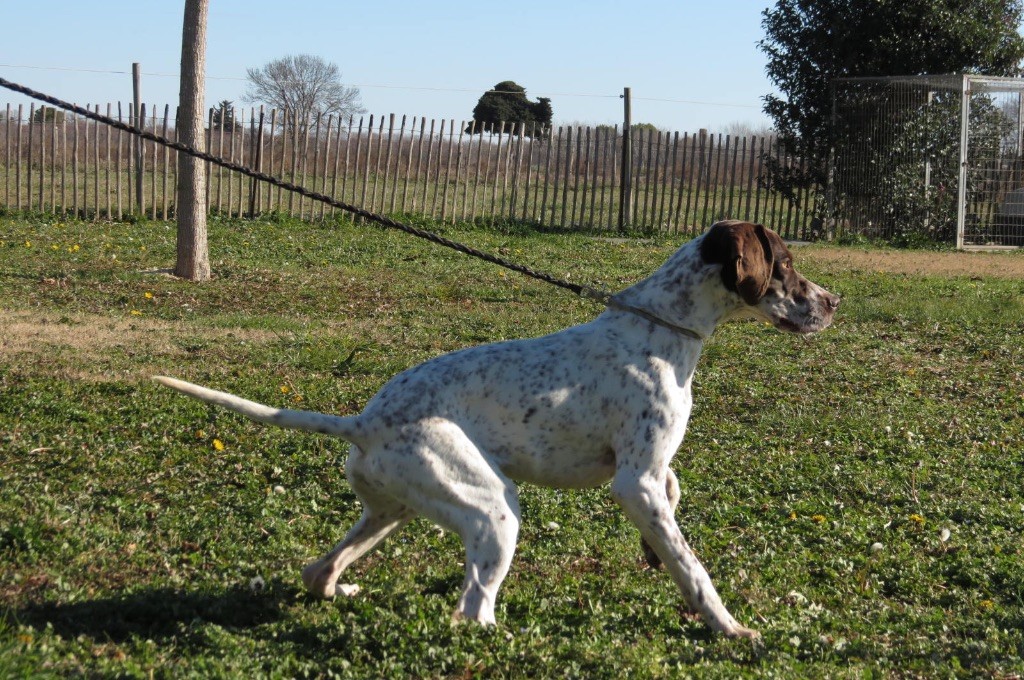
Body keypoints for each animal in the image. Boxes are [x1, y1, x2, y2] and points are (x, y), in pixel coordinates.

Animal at [155, 220, 835, 639]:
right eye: (786, 265)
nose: (833, 304)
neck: (662, 330)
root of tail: (364, 421)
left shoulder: (650, 472)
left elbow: (673, 497)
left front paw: (654, 552)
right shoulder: (632, 481)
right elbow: (693, 568)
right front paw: (728, 627)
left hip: (394, 508)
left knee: (318, 570)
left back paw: (338, 589)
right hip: (492, 507)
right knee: (471, 615)